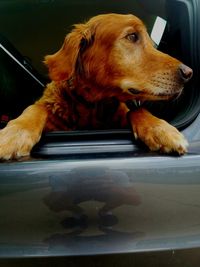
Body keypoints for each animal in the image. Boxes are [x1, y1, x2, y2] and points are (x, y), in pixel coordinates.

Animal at [0, 13, 192, 160]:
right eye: (132, 36)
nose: (188, 73)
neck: (92, 105)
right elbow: (36, 108)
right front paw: (14, 134)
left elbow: (137, 110)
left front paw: (162, 129)